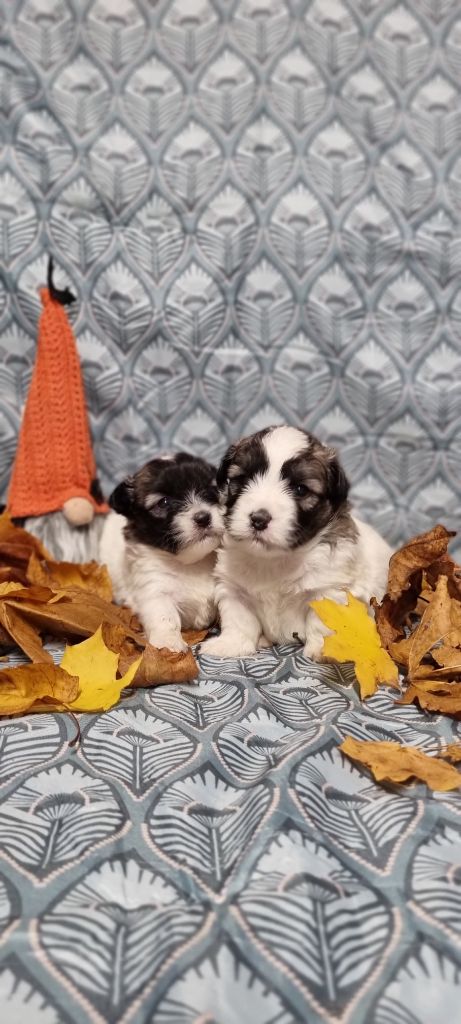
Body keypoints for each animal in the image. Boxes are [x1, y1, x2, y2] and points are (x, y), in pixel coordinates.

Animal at [99, 454, 224, 651]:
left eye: (211, 490)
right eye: (163, 502)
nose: (203, 518)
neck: (191, 563)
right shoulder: (154, 589)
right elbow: (165, 617)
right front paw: (169, 642)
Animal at [199, 425, 391, 659]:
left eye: (300, 489)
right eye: (243, 479)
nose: (258, 519)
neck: (274, 560)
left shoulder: (327, 590)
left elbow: (320, 623)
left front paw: (322, 650)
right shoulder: (234, 590)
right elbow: (239, 620)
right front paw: (231, 644)